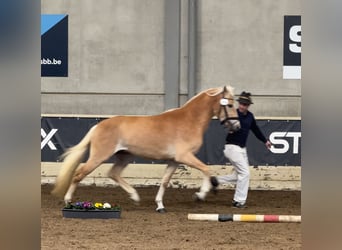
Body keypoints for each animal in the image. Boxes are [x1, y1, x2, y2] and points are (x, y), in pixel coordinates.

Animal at [52, 85, 240, 212]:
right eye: (230, 105)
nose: (237, 126)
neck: (189, 120)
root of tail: (98, 126)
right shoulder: (185, 156)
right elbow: (206, 169)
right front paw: (200, 195)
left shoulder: (174, 161)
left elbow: (164, 182)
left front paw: (160, 206)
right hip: (99, 156)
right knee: (79, 174)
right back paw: (68, 201)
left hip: (125, 156)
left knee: (113, 173)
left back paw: (135, 197)